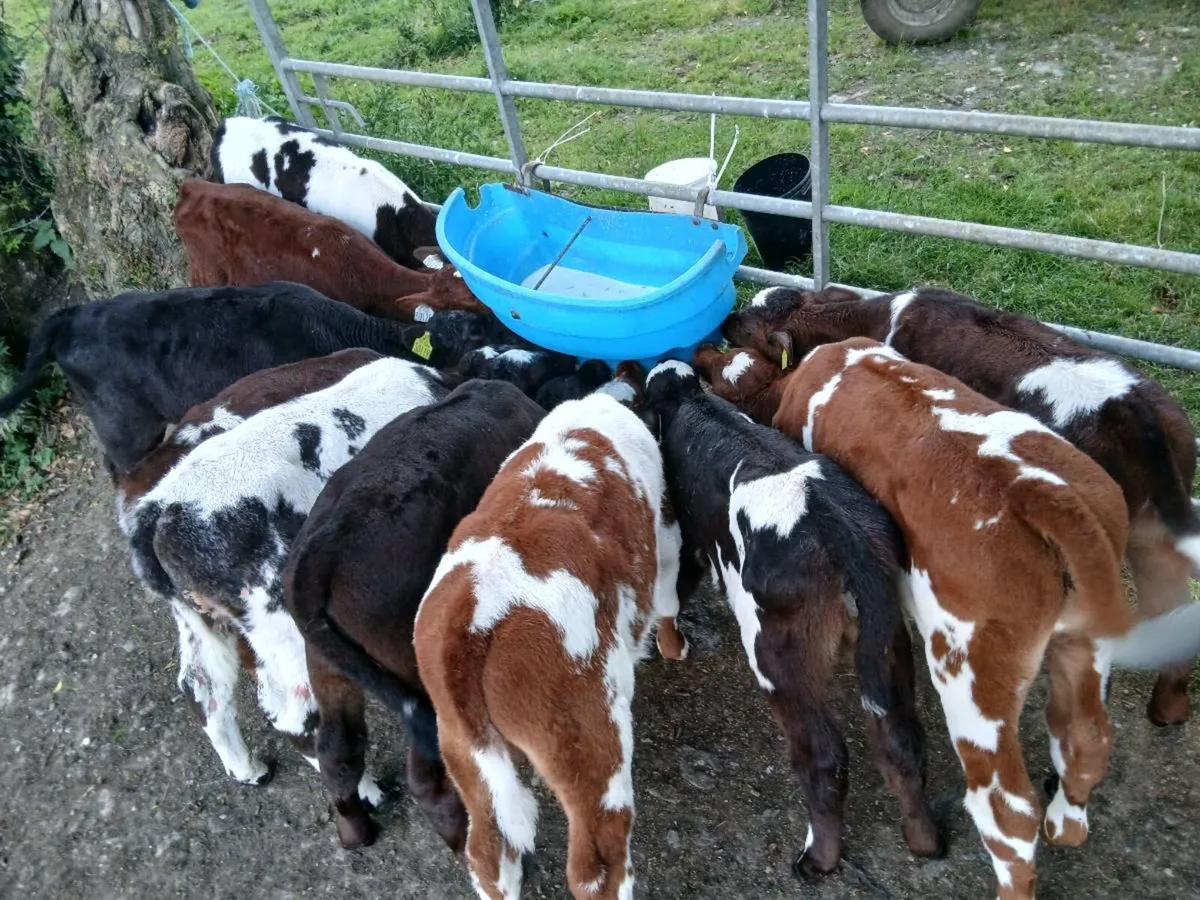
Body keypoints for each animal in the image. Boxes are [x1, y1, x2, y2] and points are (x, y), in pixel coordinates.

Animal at [414, 391, 686, 900]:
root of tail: (472, 617)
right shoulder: (667, 535)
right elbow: (668, 596)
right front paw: (674, 646)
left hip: (460, 744)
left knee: (487, 853)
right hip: (589, 740)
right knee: (596, 867)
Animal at [722, 284, 1200, 724]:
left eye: (749, 327)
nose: (725, 318)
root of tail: (1135, 408)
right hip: (1152, 530)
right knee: (1170, 600)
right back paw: (1169, 707)